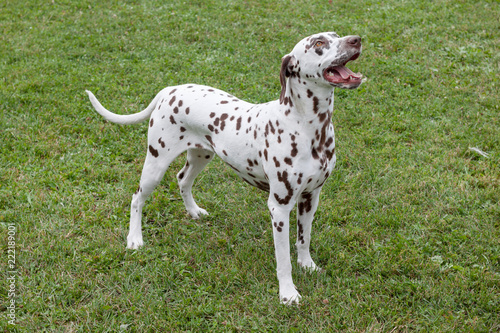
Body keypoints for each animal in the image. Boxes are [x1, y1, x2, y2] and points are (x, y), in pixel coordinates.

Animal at [84, 31, 362, 304]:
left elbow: (304, 239)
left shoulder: (310, 197)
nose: (356, 39)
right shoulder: (279, 208)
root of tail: (170, 89)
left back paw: (193, 211)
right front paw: (287, 293)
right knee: (137, 198)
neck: (307, 127)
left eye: (336, 34)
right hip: (156, 164)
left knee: (182, 179)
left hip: (200, 156)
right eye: (319, 43)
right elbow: (283, 260)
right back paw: (135, 239)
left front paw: (308, 265)